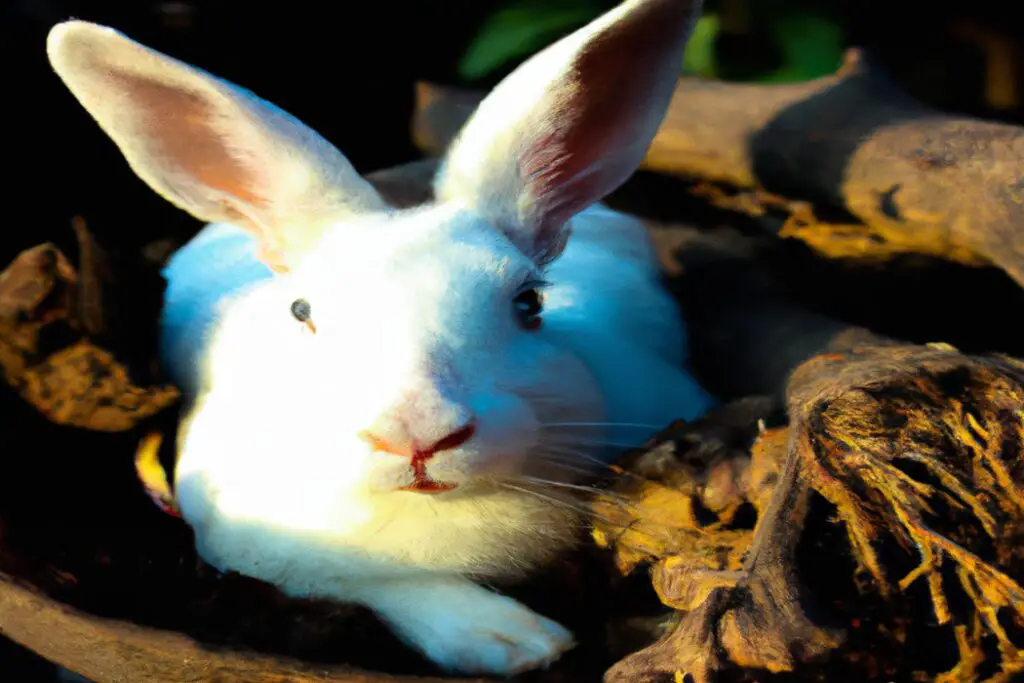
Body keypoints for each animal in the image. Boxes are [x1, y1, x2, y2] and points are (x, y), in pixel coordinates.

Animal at [45, 0, 713, 675]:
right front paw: (515, 642)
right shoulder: (243, 541)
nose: (418, 435)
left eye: (529, 303)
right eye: (301, 310)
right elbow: (374, 581)